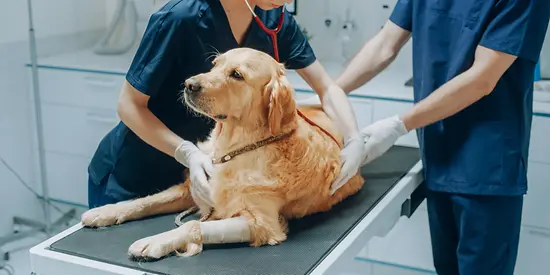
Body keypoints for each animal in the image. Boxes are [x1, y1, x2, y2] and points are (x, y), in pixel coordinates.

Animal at [82, 47, 366, 260]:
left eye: (237, 74)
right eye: (215, 64)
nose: (188, 84)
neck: (236, 148)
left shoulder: (262, 223)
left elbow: (195, 224)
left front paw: (155, 241)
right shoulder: (194, 187)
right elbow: (146, 200)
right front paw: (105, 211)